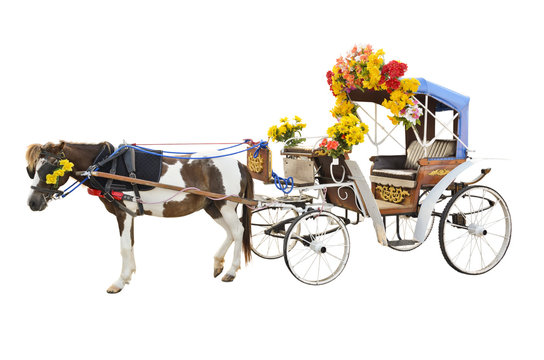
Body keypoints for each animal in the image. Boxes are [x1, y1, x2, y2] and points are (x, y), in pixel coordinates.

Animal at [25, 140, 255, 292]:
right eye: (33, 168)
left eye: (52, 166)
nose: (32, 202)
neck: (107, 166)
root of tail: (240, 164)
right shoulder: (129, 213)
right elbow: (131, 243)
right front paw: (128, 275)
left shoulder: (123, 212)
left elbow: (125, 246)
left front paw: (119, 281)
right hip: (213, 207)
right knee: (230, 233)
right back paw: (218, 264)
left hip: (225, 205)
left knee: (238, 231)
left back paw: (231, 271)